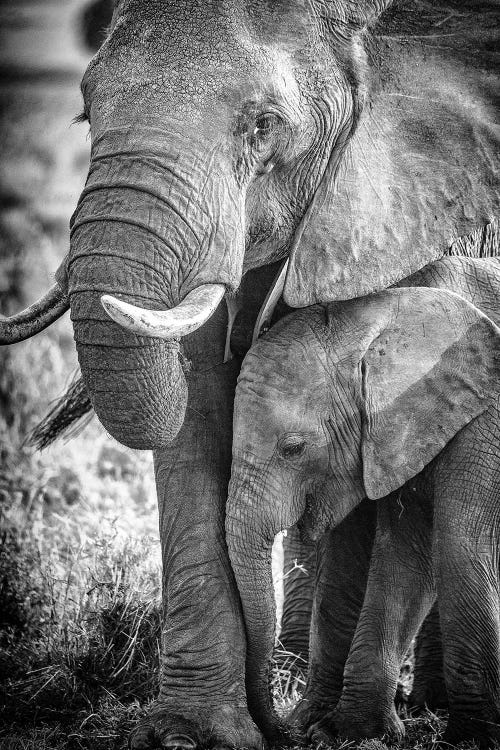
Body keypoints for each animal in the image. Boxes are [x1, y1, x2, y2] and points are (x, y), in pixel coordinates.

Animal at [227, 258, 500, 748]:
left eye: (293, 448)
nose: (283, 732)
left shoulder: (485, 415)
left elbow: (458, 546)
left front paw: (469, 739)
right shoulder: (404, 429)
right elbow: (407, 555)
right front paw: (350, 731)